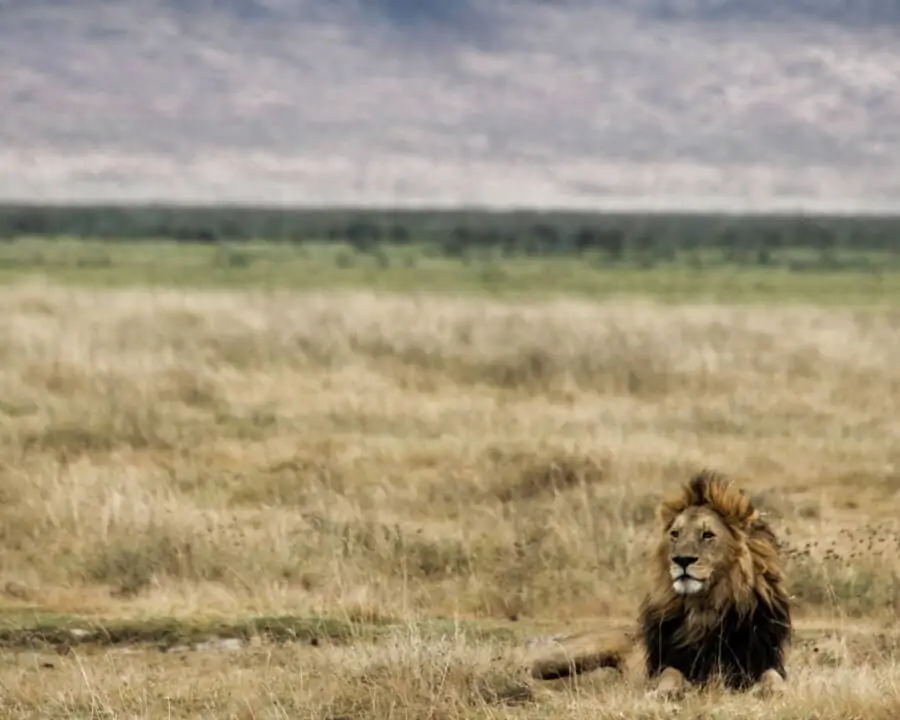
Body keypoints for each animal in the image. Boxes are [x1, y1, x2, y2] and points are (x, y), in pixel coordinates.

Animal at [532, 470, 792, 700]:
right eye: (675, 534)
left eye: (707, 535)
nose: (682, 560)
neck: (705, 609)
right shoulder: (668, 662)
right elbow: (670, 675)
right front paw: (665, 692)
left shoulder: (761, 659)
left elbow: (773, 676)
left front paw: (775, 691)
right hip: (572, 653)